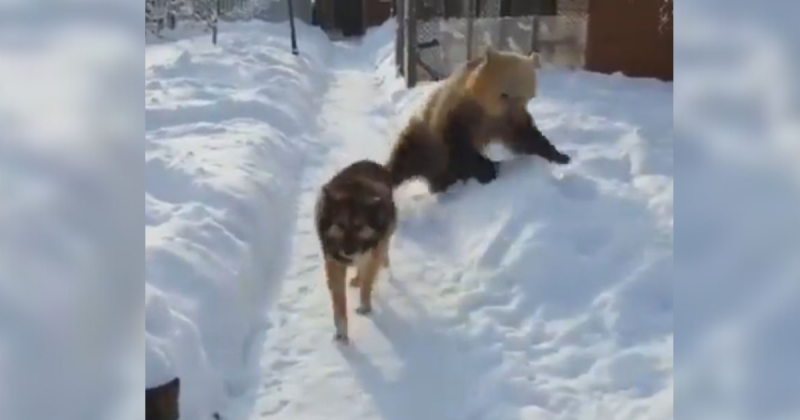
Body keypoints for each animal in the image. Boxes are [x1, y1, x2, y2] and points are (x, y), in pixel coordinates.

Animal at [386, 48, 568, 193]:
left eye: (527, 96)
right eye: (504, 94)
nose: (514, 115)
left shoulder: (503, 122)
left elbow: (525, 136)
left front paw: (561, 156)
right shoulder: (459, 112)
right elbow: (458, 143)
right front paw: (488, 168)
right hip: (422, 140)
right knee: (403, 158)